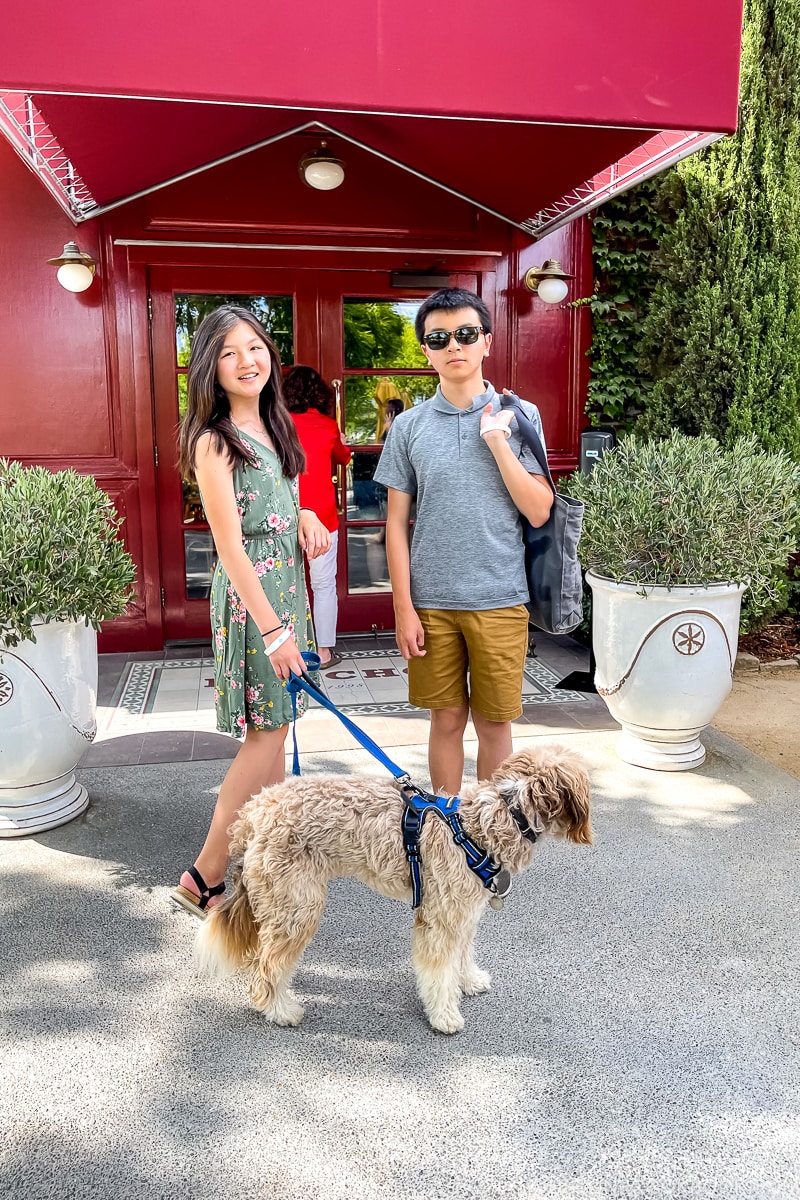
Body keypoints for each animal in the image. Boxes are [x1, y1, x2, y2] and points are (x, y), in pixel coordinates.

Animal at [195, 744, 587, 1036]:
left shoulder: (463, 915)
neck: (489, 822)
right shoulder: (440, 921)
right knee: (267, 968)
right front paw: (444, 1015)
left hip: (279, 904)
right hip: (298, 908)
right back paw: (279, 1008)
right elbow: (438, 973)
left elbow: (463, 955)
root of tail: (252, 811)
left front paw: (469, 980)